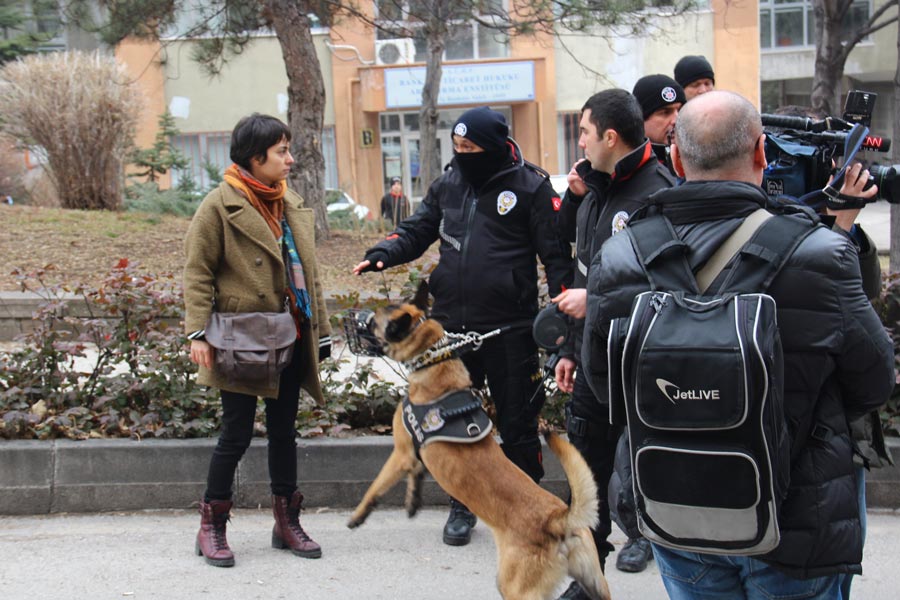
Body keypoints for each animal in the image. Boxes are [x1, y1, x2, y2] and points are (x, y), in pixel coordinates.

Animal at [348, 282, 608, 600]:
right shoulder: (413, 456)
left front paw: (358, 517)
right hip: (596, 583)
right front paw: (412, 502)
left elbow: (375, 487)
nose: (358, 318)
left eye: (373, 322)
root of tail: (558, 519)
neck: (434, 360)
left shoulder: (400, 452)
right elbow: (415, 476)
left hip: (515, 588)